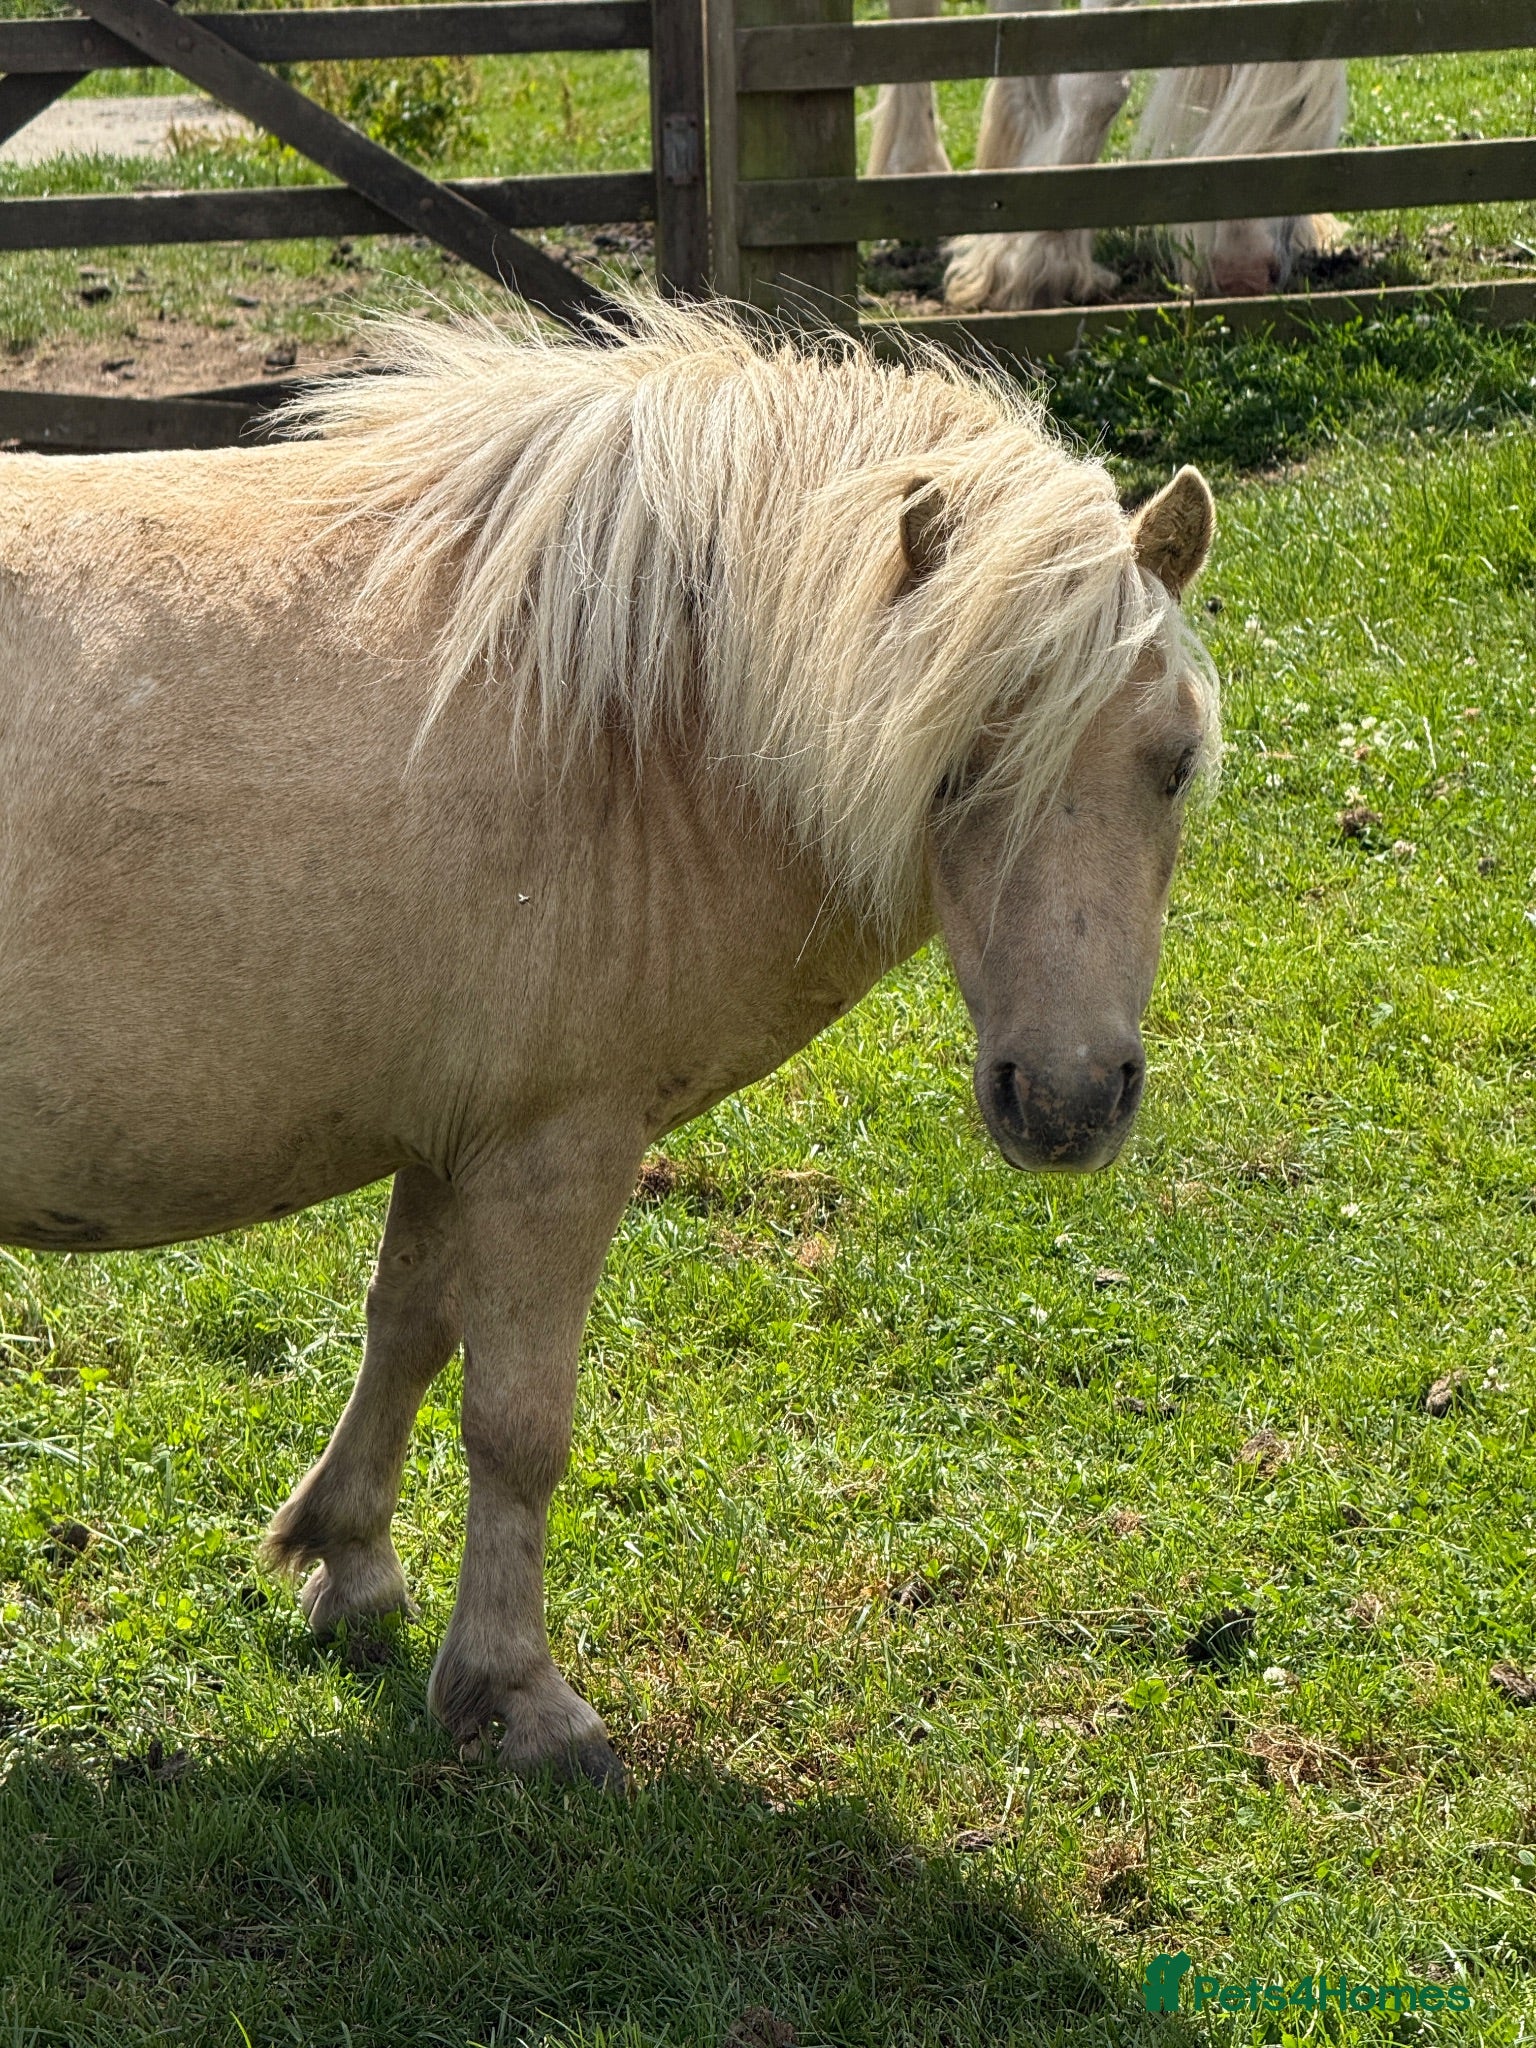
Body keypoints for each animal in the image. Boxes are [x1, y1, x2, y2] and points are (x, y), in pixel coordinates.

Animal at [0, 298, 1218, 1781]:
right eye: (951, 764)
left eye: (1173, 763)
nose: (1067, 1097)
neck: (634, 732)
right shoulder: (555, 1149)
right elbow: (517, 1425)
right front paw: (516, 1691)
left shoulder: (454, 1134)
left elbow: (409, 1330)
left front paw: (351, 1563)